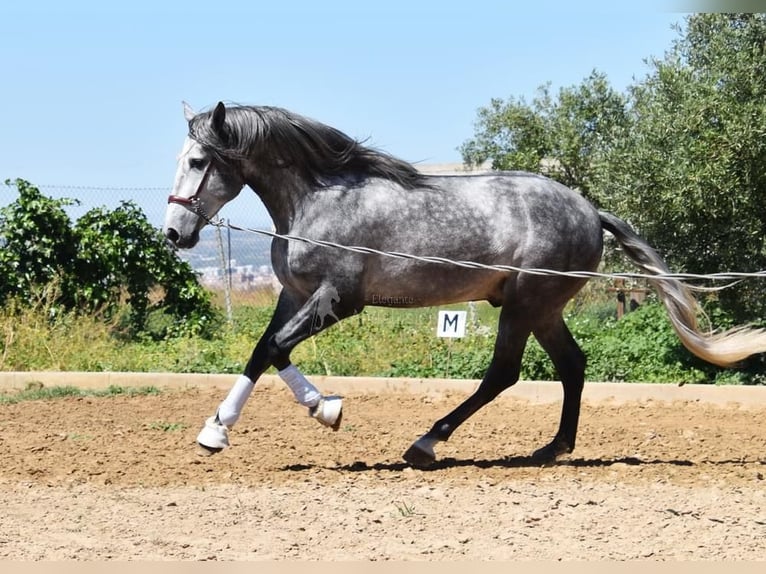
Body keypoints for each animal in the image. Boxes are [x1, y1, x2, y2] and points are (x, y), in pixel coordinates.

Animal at [164, 102, 766, 468]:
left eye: (198, 160)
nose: (174, 233)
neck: (316, 200)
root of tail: (591, 210)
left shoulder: (339, 299)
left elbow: (276, 348)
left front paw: (324, 410)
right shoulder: (294, 294)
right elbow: (264, 351)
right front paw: (220, 430)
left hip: (523, 305)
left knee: (504, 373)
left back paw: (427, 443)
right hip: (542, 310)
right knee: (572, 365)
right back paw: (553, 448)